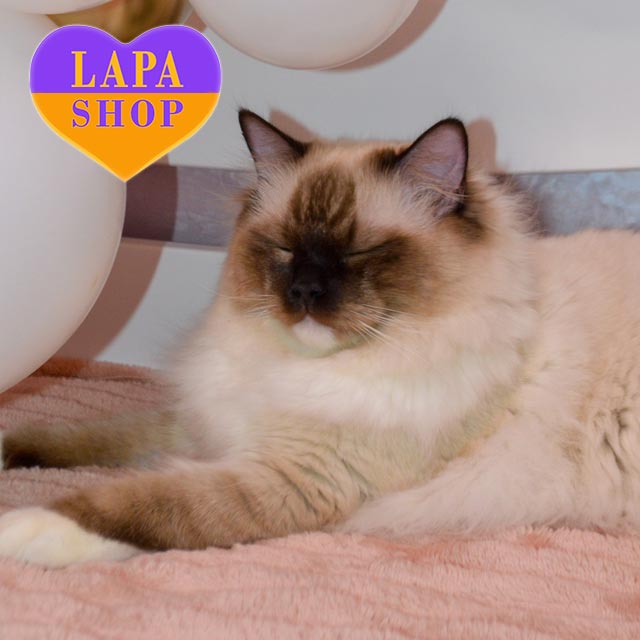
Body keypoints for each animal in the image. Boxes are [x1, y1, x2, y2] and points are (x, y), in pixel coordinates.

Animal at [1, 110, 639, 568]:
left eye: (359, 252)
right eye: (285, 249)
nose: (305, 291)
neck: (295, 367)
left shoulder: (300, 476)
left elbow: (148, 505)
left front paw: (21, 530)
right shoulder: (203, 422)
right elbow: (91, 436)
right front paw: (12, 450)